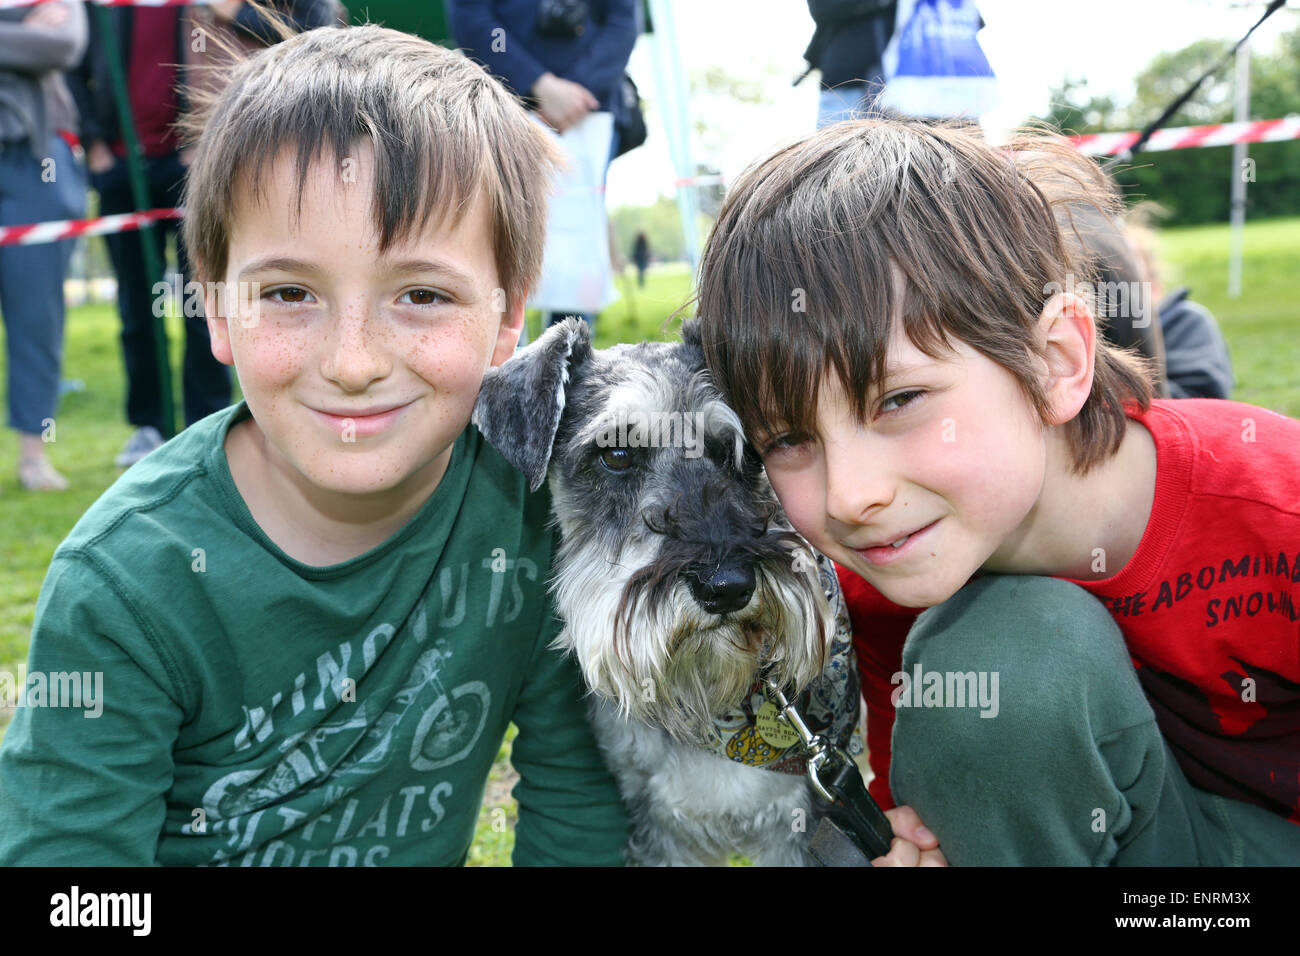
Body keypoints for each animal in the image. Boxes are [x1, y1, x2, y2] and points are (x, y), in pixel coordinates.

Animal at [473, 317, 857, 863]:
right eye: (616, 454)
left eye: (741, 452)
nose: (727, 587)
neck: (711, 705)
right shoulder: (658, 828)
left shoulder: (804, 825)